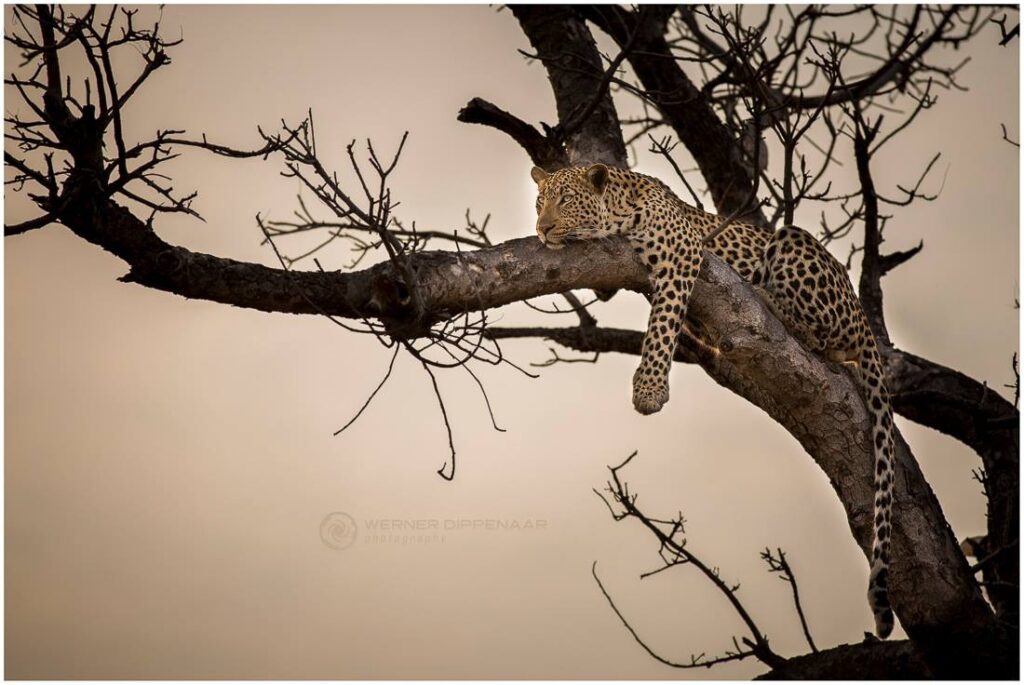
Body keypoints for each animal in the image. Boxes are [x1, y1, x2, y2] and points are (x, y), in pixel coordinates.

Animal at [530, 163, 895, 639]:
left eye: (566, 200)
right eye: (540, 202)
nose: (542, 229)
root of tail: (862, 315)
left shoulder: (681, 253)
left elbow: (663, 321)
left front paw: (649, 389)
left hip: (794, 244)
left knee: (819, 334)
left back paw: (763, 296)